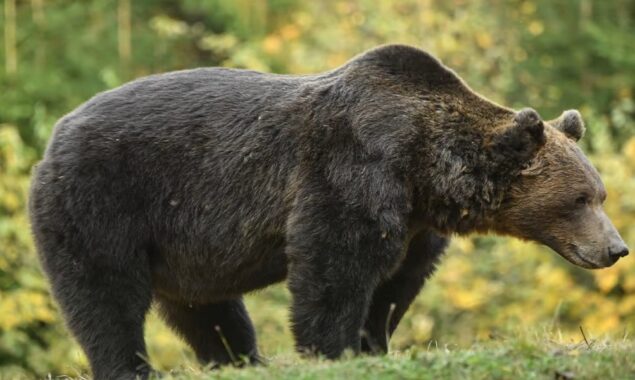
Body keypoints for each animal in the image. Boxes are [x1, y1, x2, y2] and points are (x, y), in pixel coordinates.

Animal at [26, 43, 632, 378]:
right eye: (579, 199)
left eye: (599, 195)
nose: (615, 248)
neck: (425, 168)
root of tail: (54, 135)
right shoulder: (353, 169)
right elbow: (335, 264)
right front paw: (333, 348)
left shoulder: (415, 222)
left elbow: (396, 284)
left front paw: (375, 342)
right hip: (103, 199)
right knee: (104, 292)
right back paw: (130, 365)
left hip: (179, 244)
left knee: (205, 306)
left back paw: (242, 358)